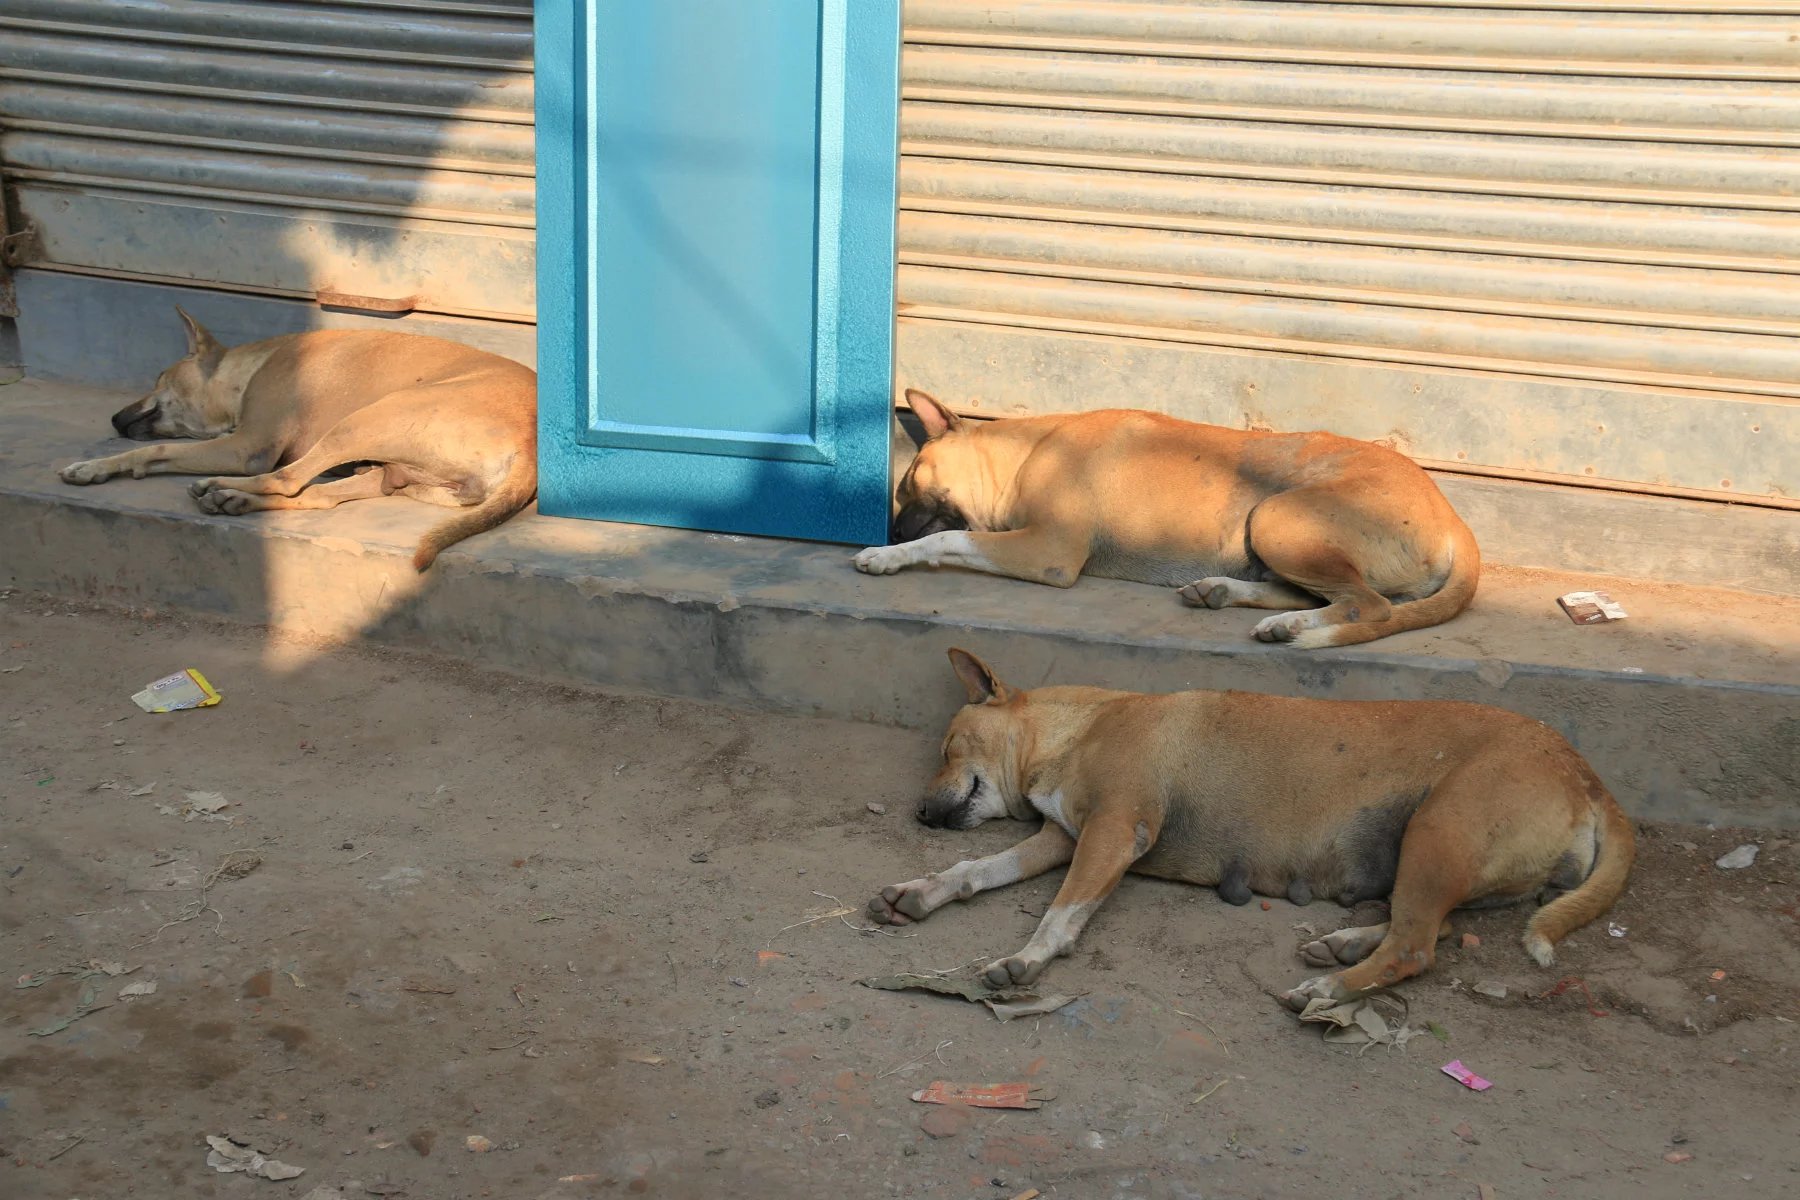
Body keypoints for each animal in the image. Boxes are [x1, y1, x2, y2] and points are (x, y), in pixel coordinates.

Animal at [56, 309, 532, 572]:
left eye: (160, 377)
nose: (115, 419)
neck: (251, 368)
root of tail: (530, 447)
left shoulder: (245, 448)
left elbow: (157, 448)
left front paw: (91, 466)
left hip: (364, 421)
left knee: (287, 480)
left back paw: (221, 489)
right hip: (389, 469)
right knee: (317, 495)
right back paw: (237, 500)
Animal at [856, 395, 1476, 651]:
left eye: (907, 481)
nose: (891, 530)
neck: (1026, 452)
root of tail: (1455, 521)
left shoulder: (1047, 551)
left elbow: (948, 534)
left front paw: (888, 556)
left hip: (1277, 517)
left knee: (1369, 605)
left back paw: (1292, 625)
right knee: (1325, 596)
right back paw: (1239, 600)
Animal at [864, 651, 1641, 1007]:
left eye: (948, 746)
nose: (921, 813)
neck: (1078, 727)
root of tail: (1584, 773)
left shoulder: (1113, 832)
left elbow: (1060, 914)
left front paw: (1027, 960)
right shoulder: (1065, 837)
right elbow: (976, 871)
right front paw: (922, 891)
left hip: (1435, 833)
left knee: (1418, 946)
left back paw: (1332, 989)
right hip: (1433, 858)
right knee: (1435, 927)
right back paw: (1343, 945)